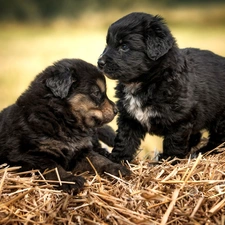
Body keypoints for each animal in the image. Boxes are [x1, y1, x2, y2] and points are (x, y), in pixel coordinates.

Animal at [0, 58, 130, 193]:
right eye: (96, 93)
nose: (116, 110)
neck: (61, 118)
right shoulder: (28, 155)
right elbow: (53, 167)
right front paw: (70, 179)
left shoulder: (80, 152)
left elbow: (98, 159)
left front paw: (116, 168)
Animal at [97, 11, 225, 162]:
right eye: (107, 44)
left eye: (124, 47)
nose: (99, 63)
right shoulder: (129, 118)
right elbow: (125, 140)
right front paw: (117, 158)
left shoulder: (179, 120)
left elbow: (173, 142)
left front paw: (169, 160)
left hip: (220, 120)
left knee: (218, 140)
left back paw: (203, 152)